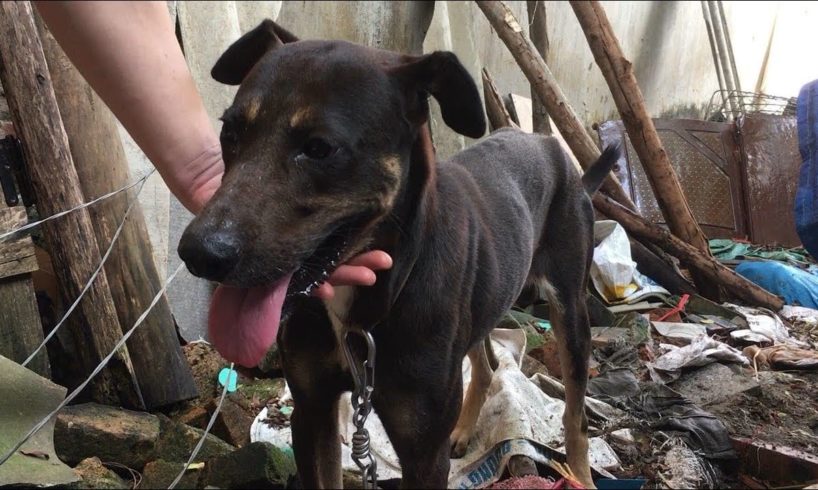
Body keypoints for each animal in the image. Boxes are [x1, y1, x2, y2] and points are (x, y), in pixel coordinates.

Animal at [177, 20, 612, 490]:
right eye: (230, 133)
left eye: (319, 148)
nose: (198, 254)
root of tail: (547, 144)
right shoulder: (311, 412)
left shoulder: (423, 452)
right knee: (484, 361)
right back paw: (465, 427)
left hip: (571, 310)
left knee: (574, 413)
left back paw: (580, 473)